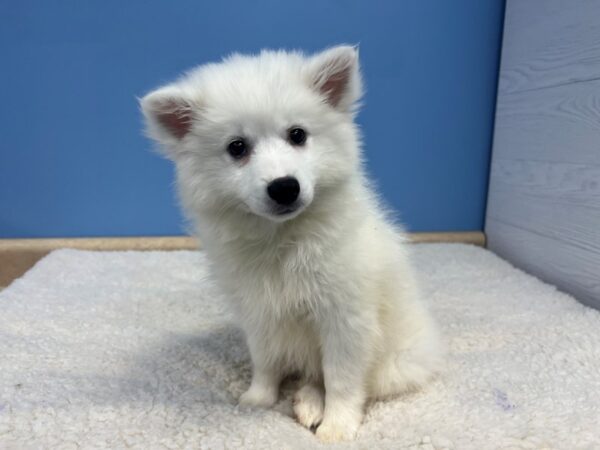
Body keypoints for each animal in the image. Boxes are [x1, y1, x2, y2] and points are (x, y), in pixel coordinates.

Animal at [139, 46, 440, 442]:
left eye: (298, 135)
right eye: (237, 147)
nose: (284, 187)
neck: (282, 239)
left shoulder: (346, 319)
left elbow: (341, 379)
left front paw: (337, 426)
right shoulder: (258, 313)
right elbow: (265, 361)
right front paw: (257, 399)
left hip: (398, 363)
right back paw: (306, 401)